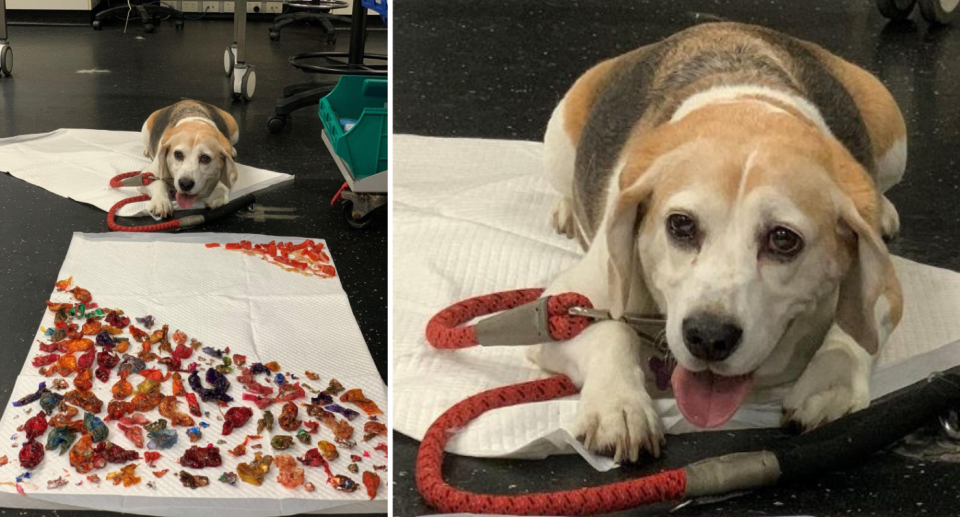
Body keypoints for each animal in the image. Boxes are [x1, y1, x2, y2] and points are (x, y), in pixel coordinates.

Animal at [532, 22, 908, 462]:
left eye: (784, 239)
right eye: (680, 225)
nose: (708, 338)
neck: (747, 110)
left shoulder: (887, 291)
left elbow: (855, 331)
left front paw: (830, 383)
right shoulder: (561, 306)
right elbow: (608, 332)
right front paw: (618, 405)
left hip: (892, 129)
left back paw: (885, 208)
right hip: (560, 133)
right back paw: (567, 210)